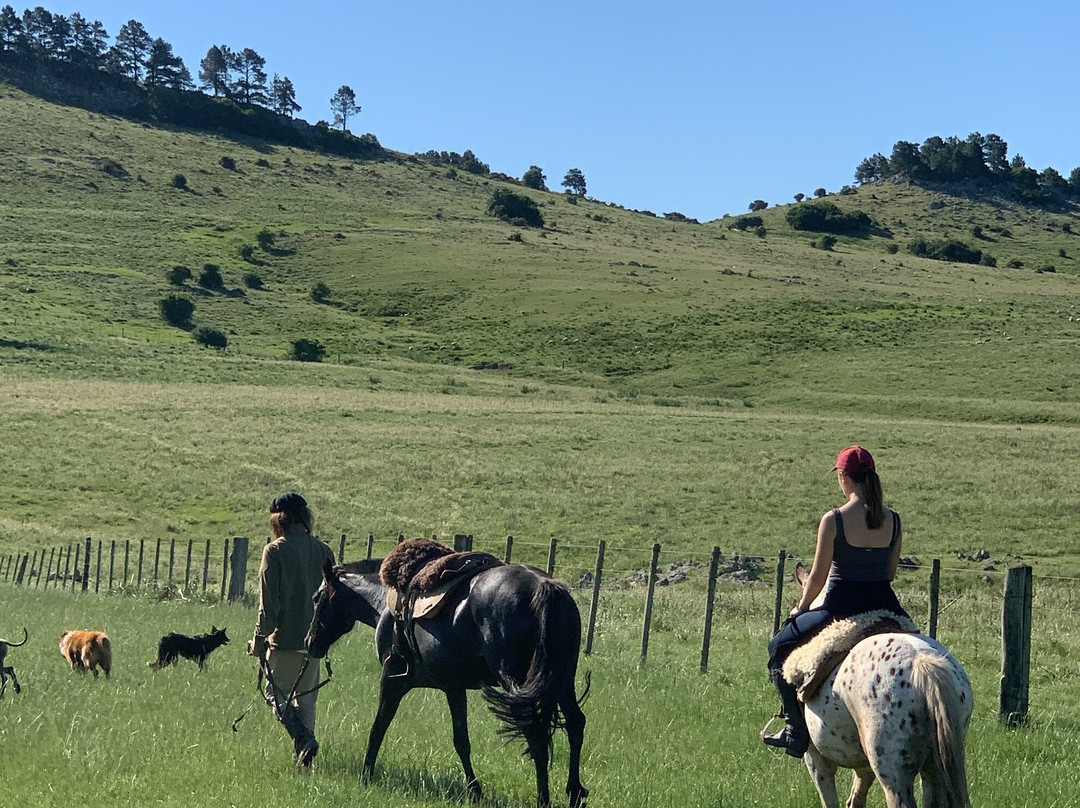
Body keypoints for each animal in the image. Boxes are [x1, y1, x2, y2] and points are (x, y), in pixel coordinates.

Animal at [305, 557, 589, 808]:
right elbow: (461, 741)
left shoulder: (392, 680)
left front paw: (366, 776)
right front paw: (475, 791)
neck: (386, 605)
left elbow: (378, 728)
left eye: (317, 598)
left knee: (536, 735)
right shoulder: (454, 688)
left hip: (518, 686)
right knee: (575, 724)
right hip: (561, 682)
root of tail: (544, 586)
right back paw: (574, 792)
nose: (310, 642)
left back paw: (544, 798)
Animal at [789, 564, 973, 808]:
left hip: (893, 774)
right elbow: (856, 798)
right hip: (935, 770)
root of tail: (922, 664)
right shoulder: (864, 766)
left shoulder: (816, 760)